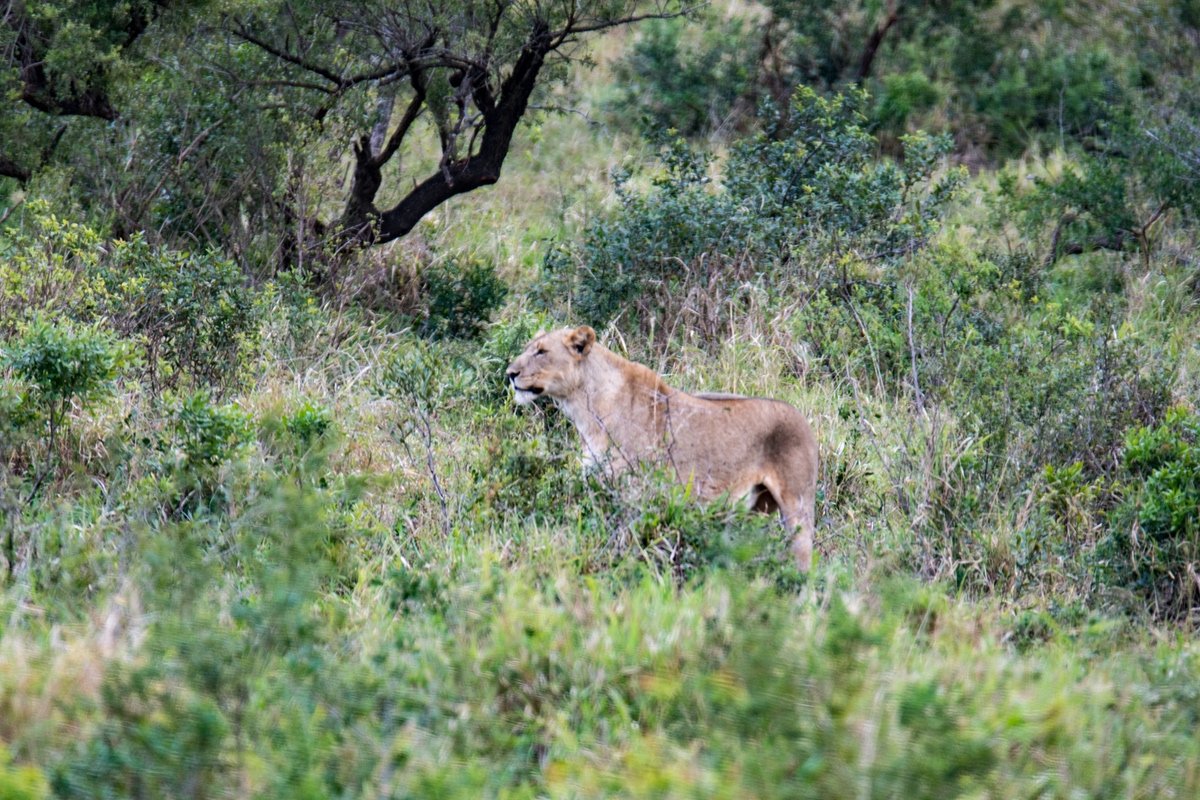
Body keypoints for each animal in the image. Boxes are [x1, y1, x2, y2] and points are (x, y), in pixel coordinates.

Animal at [506, 325, 819, 571]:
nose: (510, 373)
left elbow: (627, 542)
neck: (584, 409)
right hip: (756, 509)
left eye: (541, 352)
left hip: (797, 508)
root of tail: (804, 419)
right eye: (529, 348)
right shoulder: (600, 489)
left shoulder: (635, 492)